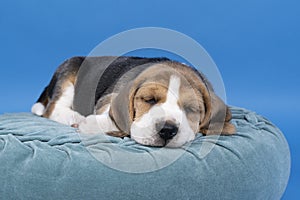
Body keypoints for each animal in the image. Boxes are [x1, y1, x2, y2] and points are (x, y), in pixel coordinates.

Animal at [31, 56, 236, 147]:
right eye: (149, 100)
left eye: (191, 109)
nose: (167, 130)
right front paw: (91, 123)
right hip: (68, 75)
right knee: (53, 109)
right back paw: (74, 117)